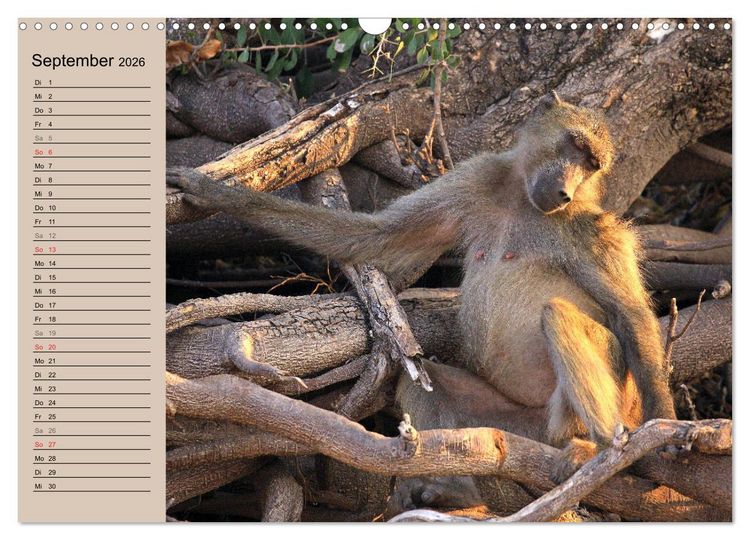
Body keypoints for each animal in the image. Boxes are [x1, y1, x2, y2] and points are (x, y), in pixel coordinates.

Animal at [170, 92, 676, 511]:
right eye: (573, 145)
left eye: (592, 164)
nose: (565, 191)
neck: (521, 201)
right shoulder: (477, 178)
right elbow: (375, 235)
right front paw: (216, 193)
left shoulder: (590, 227)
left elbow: (630, 314)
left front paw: (667, 428)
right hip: (516, 424)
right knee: (422, 379)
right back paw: (454, 488)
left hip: (598, 402)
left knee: (559, 317)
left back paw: (597, 449)